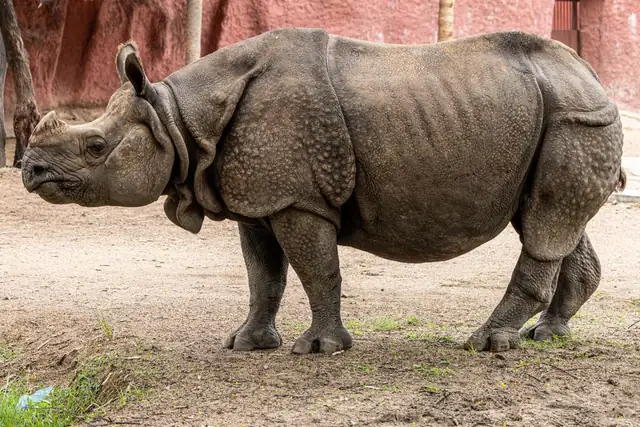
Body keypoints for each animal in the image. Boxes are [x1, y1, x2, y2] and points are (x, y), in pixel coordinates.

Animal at [21, 28, 625, 354]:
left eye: (95, 146)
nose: (29, 171)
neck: (177, 119)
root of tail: (595, 76)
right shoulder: (258, 198)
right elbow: (262, 276)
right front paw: (246, 344)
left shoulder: (298, 198)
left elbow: (317, 268)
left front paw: (319, 349)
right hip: (565, 116)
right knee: (552, 223)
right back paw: (547, 335)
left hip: (575, 120)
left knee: (546, 223)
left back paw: (485, 343)